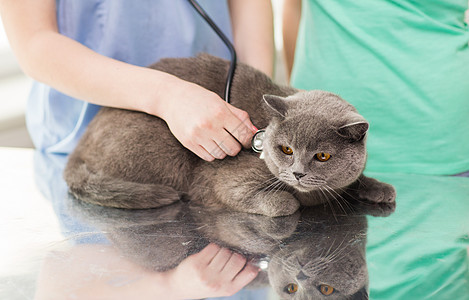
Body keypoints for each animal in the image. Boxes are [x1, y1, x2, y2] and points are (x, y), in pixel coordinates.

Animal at [64, 54, 394, 217]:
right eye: (286, 150)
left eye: (322, 156)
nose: (298, 173)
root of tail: (80, 145)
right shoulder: (223, 181)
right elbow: (283, 204)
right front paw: (292, 201)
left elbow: (354, 181)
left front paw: (379, 188)